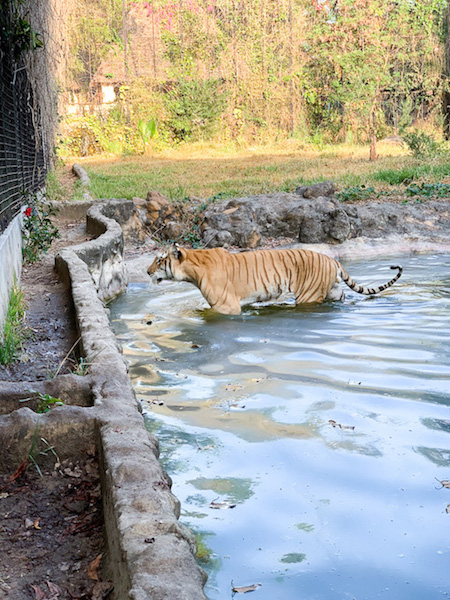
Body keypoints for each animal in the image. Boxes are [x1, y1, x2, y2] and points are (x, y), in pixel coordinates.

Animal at [147, 245, 400, 316]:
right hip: (335, 291)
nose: (147, 272)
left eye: (159, 260)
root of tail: (332, 259)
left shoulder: (226, 306)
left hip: (308, 295)